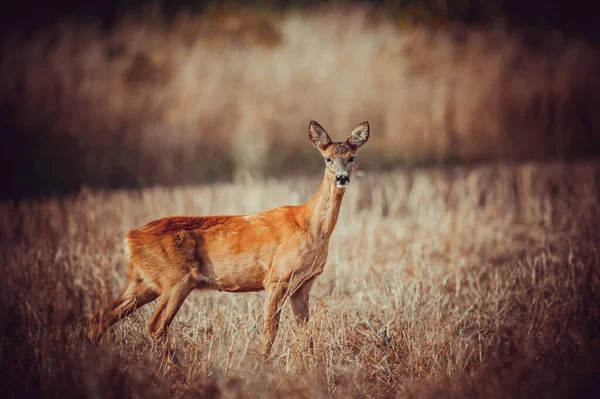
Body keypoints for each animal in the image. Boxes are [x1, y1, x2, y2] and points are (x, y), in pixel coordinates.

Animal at [89, 120, 370, 358]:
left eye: (352, 157)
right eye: (328, 158)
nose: (342, 178)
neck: (311, 226)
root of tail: (129, 238)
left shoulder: (303, 284)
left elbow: (307, 334)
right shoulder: (277, 277)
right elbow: (270, 330)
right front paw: (262, 364)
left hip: (143, 281)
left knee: (101, 316)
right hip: (176, 278)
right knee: (155, 325)